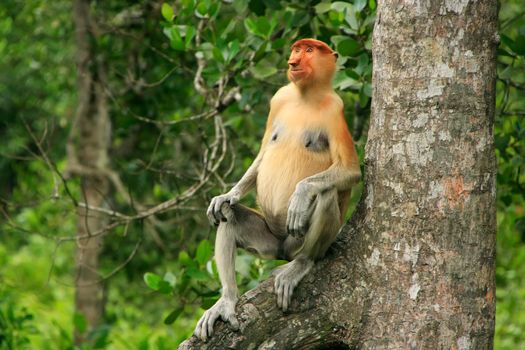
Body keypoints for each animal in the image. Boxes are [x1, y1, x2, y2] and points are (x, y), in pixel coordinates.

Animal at [193, 39, 360, 342]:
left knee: (326, 194)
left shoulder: (336, 110)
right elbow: (261, 156)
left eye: (310, 50)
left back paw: (300, 264)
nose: (293, 60)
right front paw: (226, 195)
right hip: (269, 242)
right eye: (297, 48)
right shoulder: (279, 98)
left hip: (297, 242)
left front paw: (299, 196)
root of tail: (284, 248)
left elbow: (351, 170)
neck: (306, 96)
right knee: (229, 216)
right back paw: (227, 299)